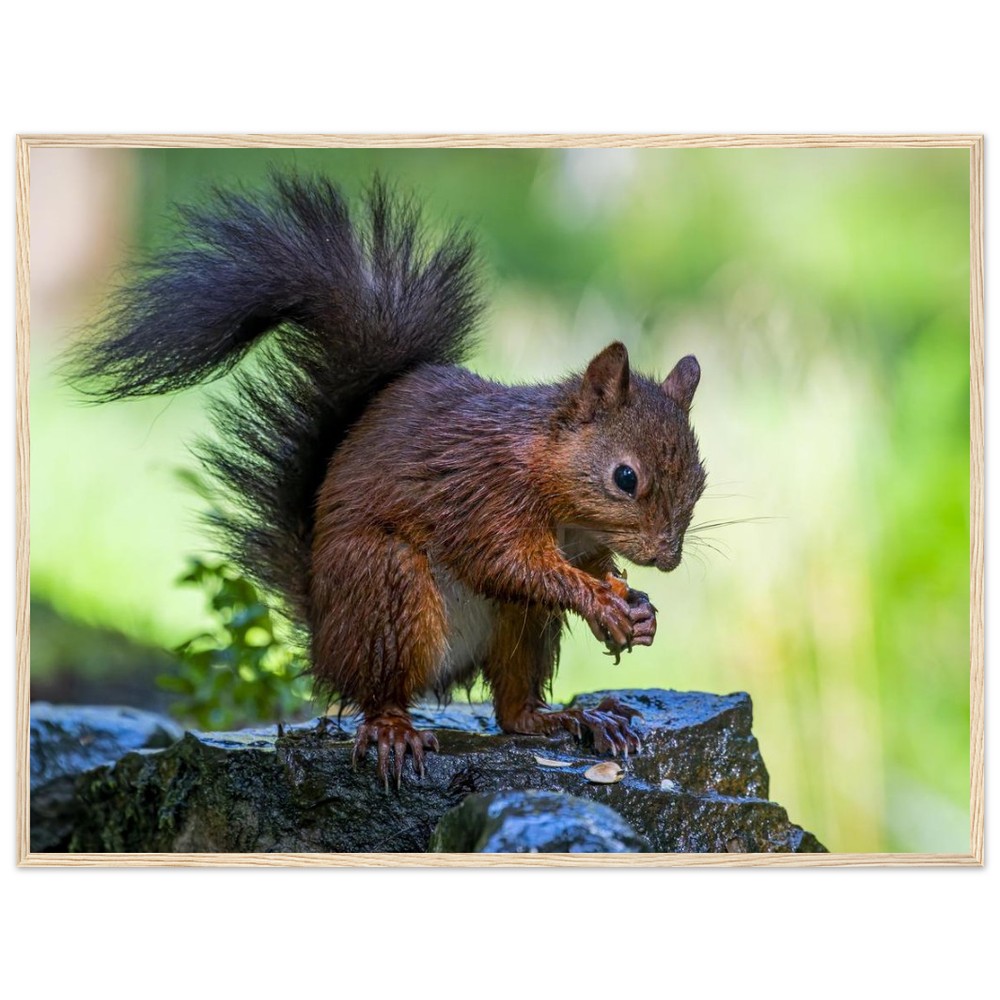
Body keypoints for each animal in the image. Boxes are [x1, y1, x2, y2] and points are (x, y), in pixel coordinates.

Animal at [69, 173, 707, 787]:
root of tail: (324, 637)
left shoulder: (579, 540)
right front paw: (600, 601)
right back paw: (394, 730)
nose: (668, 558)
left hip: (519, 625)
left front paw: (637, 609)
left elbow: (588, 567)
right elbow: (509, 563)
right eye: (625, 477)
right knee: (380, 691)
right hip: (385, 589)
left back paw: (572, 717)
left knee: (512, 709)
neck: (554, 484)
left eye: (700, 481)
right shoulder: (483, 496)